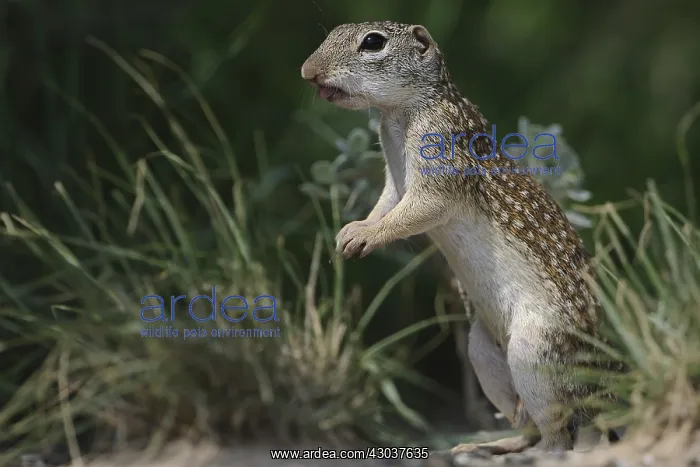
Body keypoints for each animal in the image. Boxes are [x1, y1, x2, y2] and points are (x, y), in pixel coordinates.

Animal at [301, 21, 618, 454]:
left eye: (373, 42)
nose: (308, 72)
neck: (400, 113)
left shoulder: (438, 154)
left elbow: (421, 208)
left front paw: (367, 236)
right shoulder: (395, 180)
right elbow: (387, 202)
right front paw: (353, 229)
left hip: (534, 352)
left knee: (559, 433)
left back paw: (539, 450)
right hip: (482, 353)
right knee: (527, 423)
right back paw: (488, 445)